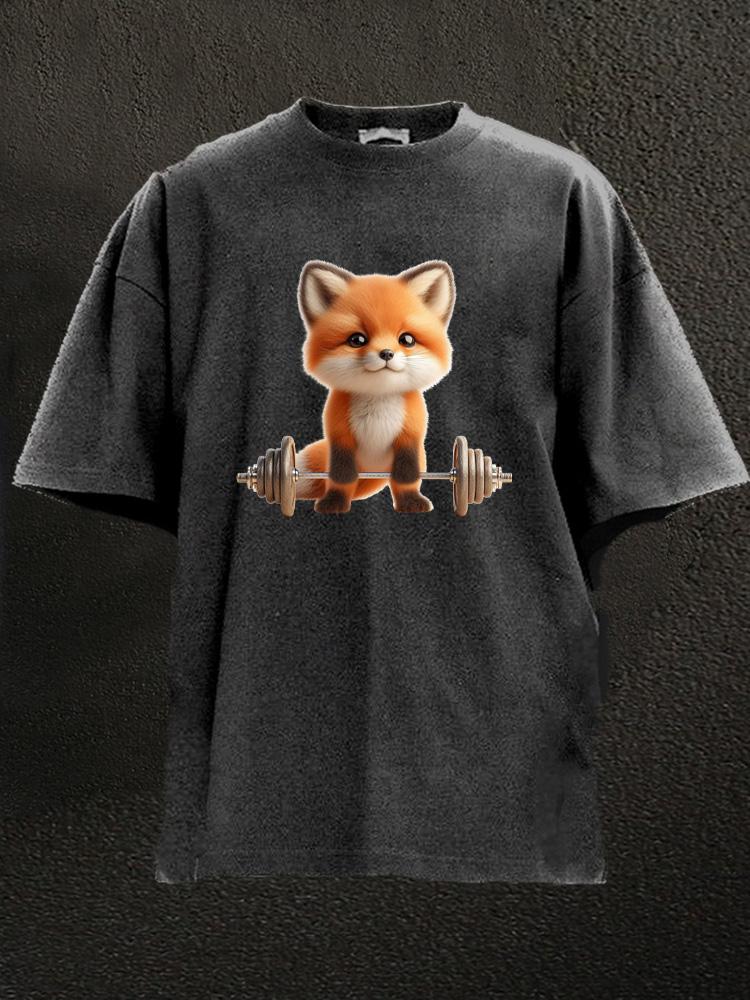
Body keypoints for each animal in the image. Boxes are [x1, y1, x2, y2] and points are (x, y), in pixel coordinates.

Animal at [295, 258, 456, 513]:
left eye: (407, 339)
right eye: (357, 340)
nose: (387, 353)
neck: (378, 404)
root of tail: (374, 471)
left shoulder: (410, 437)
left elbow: (406, 477)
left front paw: (410, 501)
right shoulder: (340, 437)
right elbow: (342, 477)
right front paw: (335, 502)